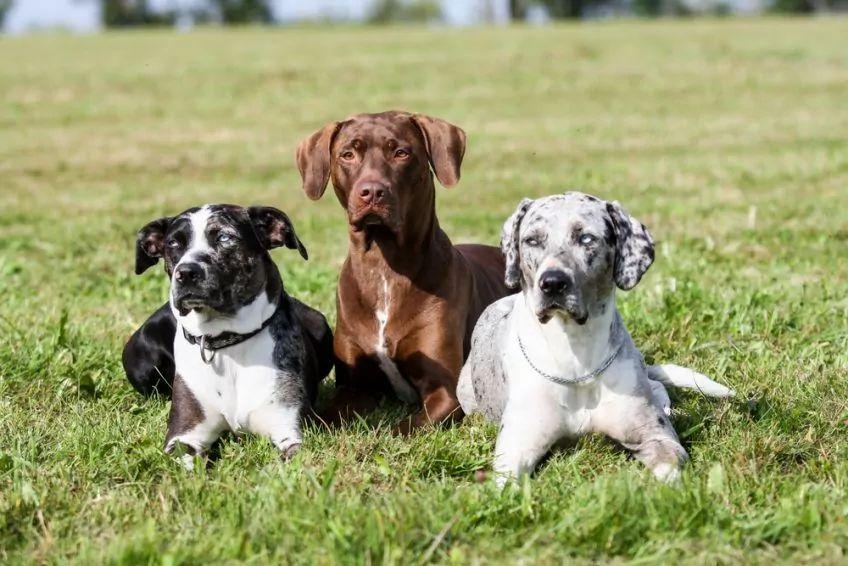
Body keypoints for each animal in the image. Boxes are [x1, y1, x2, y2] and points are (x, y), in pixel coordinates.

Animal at [134, 204, 332, 470]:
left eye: (224, 237)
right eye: (173, 243)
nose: (186, 273)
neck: (227, 342)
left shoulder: (290, 427)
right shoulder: (184, 435)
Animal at [294, 111, 512, 432]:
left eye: (401, 153)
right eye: (347, 154)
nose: (372, 192)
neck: (384, 267)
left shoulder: (445, 391)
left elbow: (404, 429)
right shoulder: (353, 387)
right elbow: (325, 418)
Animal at [458, 193, 736, 486]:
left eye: (586, 238)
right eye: (532, 240)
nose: (553, 283)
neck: (576, 359)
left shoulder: (656, 436)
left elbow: (669, 468)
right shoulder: (515, 449)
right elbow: (505, 484)